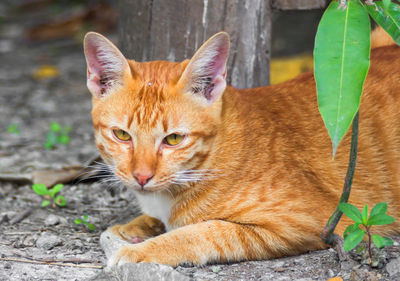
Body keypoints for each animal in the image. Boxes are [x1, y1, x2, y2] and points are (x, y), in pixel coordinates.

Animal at [82, 28, 400, 266]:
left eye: (173, 139)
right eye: (122, 135)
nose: (142, 177)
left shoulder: (305, 222)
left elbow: (201, 232)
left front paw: (142, 250)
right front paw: (134, 228)